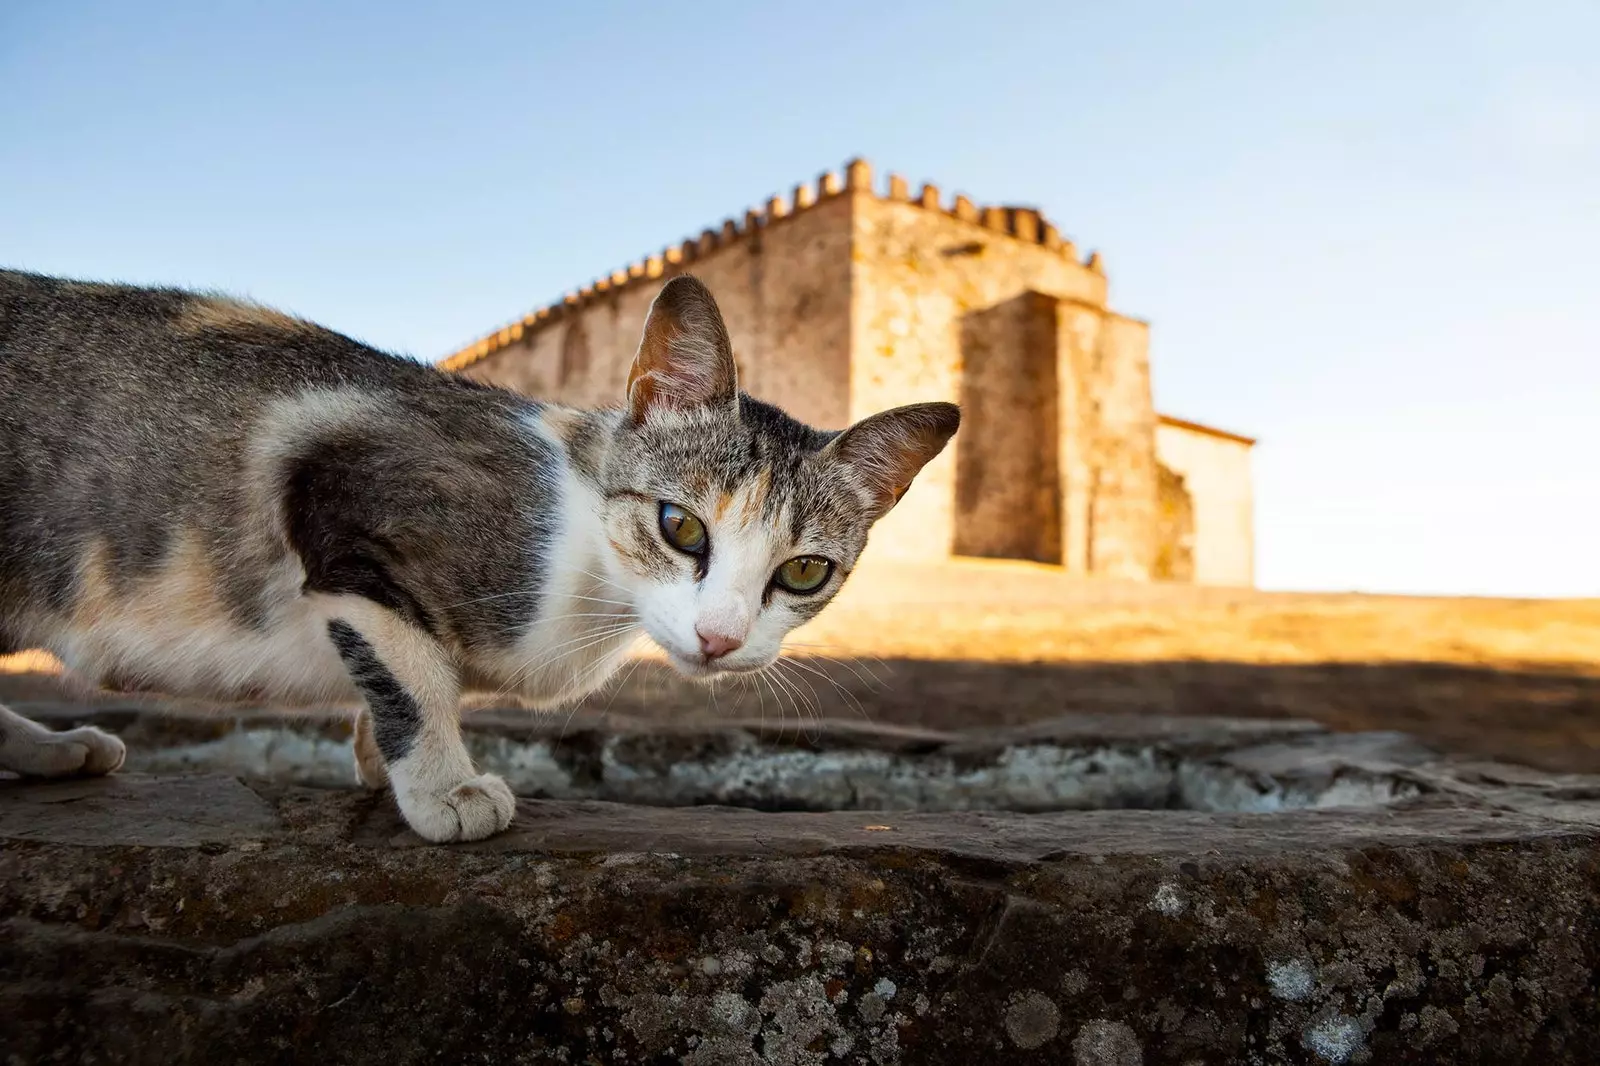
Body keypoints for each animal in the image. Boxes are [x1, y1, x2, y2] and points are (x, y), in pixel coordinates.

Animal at [0, 267, 953, 838]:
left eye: (804, 571)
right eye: (681, 526)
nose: (720, 639)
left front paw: (378, 760)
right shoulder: (341, 497)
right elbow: (413, 670)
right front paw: (444, 788)